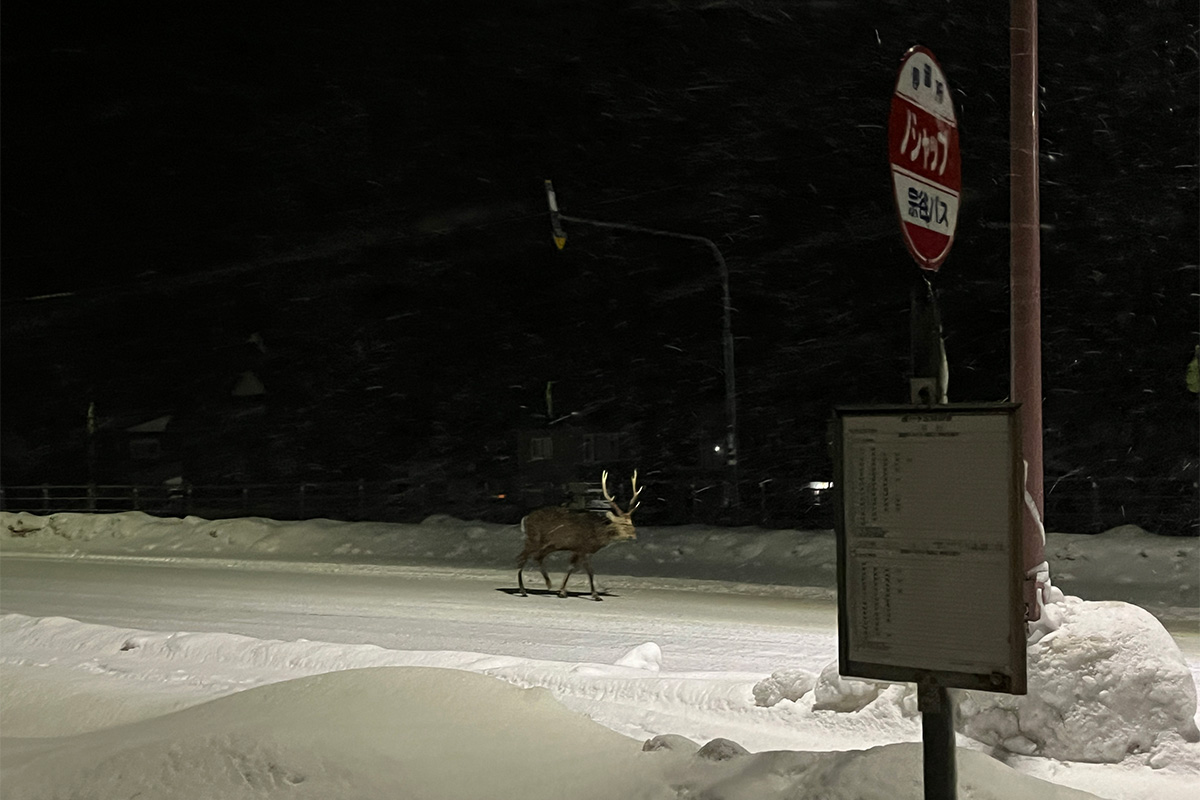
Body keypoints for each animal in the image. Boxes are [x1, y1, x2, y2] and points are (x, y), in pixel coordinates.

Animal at [518, 470, 643, 599]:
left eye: (632, 523)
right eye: (623, 523)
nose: (634, 537)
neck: (597, 534)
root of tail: (525, 518)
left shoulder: (579, 550)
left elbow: (571, 568)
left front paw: (562, 591)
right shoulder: (582, 548)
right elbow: (589, 570)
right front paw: (595, 595)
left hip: (549, 545)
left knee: (537, 557)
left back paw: (548, 584)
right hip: (533, 539)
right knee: (522, 558)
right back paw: (523, 590)